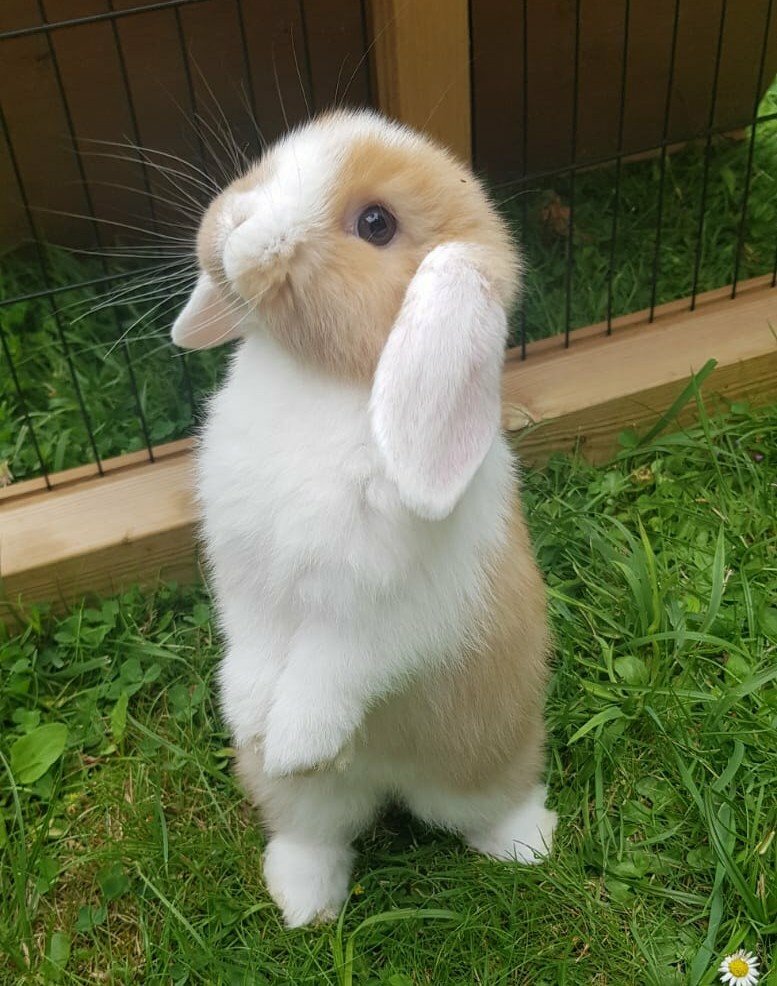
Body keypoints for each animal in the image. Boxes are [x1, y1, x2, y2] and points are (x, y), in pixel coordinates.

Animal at [171, 108, 556, 928]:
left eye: (375, 224)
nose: (235, 224)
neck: (318, 383)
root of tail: (394, 785)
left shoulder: (383, 616)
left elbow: (333, 667)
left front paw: (294, 740)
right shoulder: (245, 583)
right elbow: (255, 648)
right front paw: (249, 717)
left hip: (488, 754)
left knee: (494, 804)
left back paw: (530, 845)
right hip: (311, 806)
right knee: (316, 834)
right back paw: (301, 905)